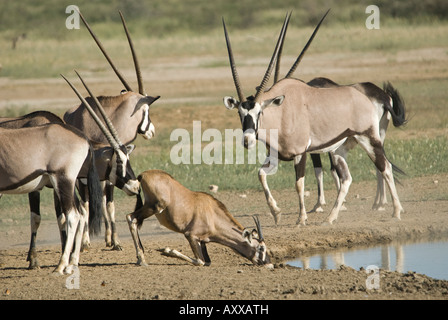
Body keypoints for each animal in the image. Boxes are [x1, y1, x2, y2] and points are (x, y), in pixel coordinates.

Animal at [126, 170, 272, 268]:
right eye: (261, 248)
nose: (269, 264)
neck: (213, 216)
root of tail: (143, 175)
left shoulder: (203, 241)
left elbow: (207, 261)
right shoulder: (190, 235)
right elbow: (200, 261)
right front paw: (166, 251)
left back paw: (140, 258)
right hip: (154, 206)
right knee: (131, 218)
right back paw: (142, 260)